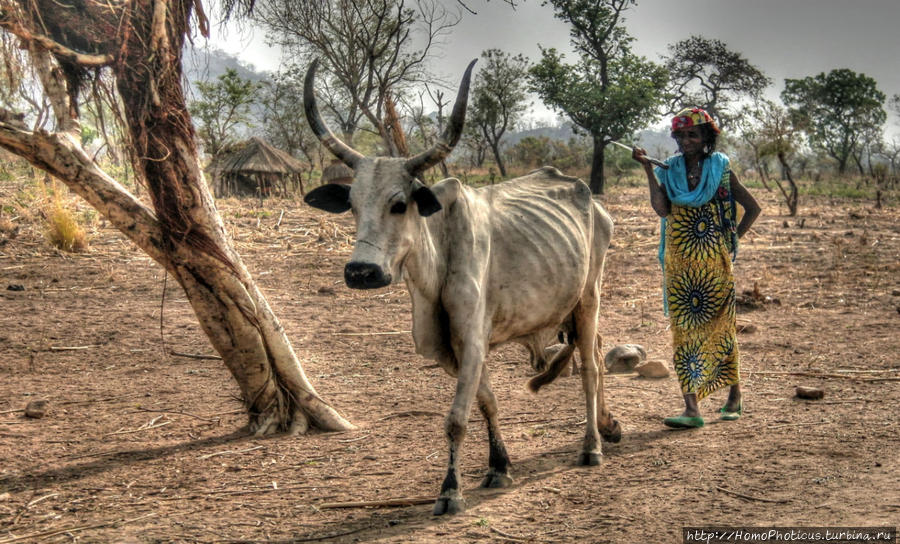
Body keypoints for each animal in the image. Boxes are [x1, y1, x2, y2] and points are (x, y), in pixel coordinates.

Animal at [302, 59, 620, 516]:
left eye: (399, 204)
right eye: (352, 206)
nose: (361, 272)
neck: (435, 263)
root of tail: (589, 197)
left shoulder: (470, 339)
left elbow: (455, 419)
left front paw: (450, 490)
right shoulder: (457, 347)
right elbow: (486, 402)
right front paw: (499, 467)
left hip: (589, 295)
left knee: (592, 368)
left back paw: (592, 446)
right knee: (593, 351)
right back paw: (609, 427)